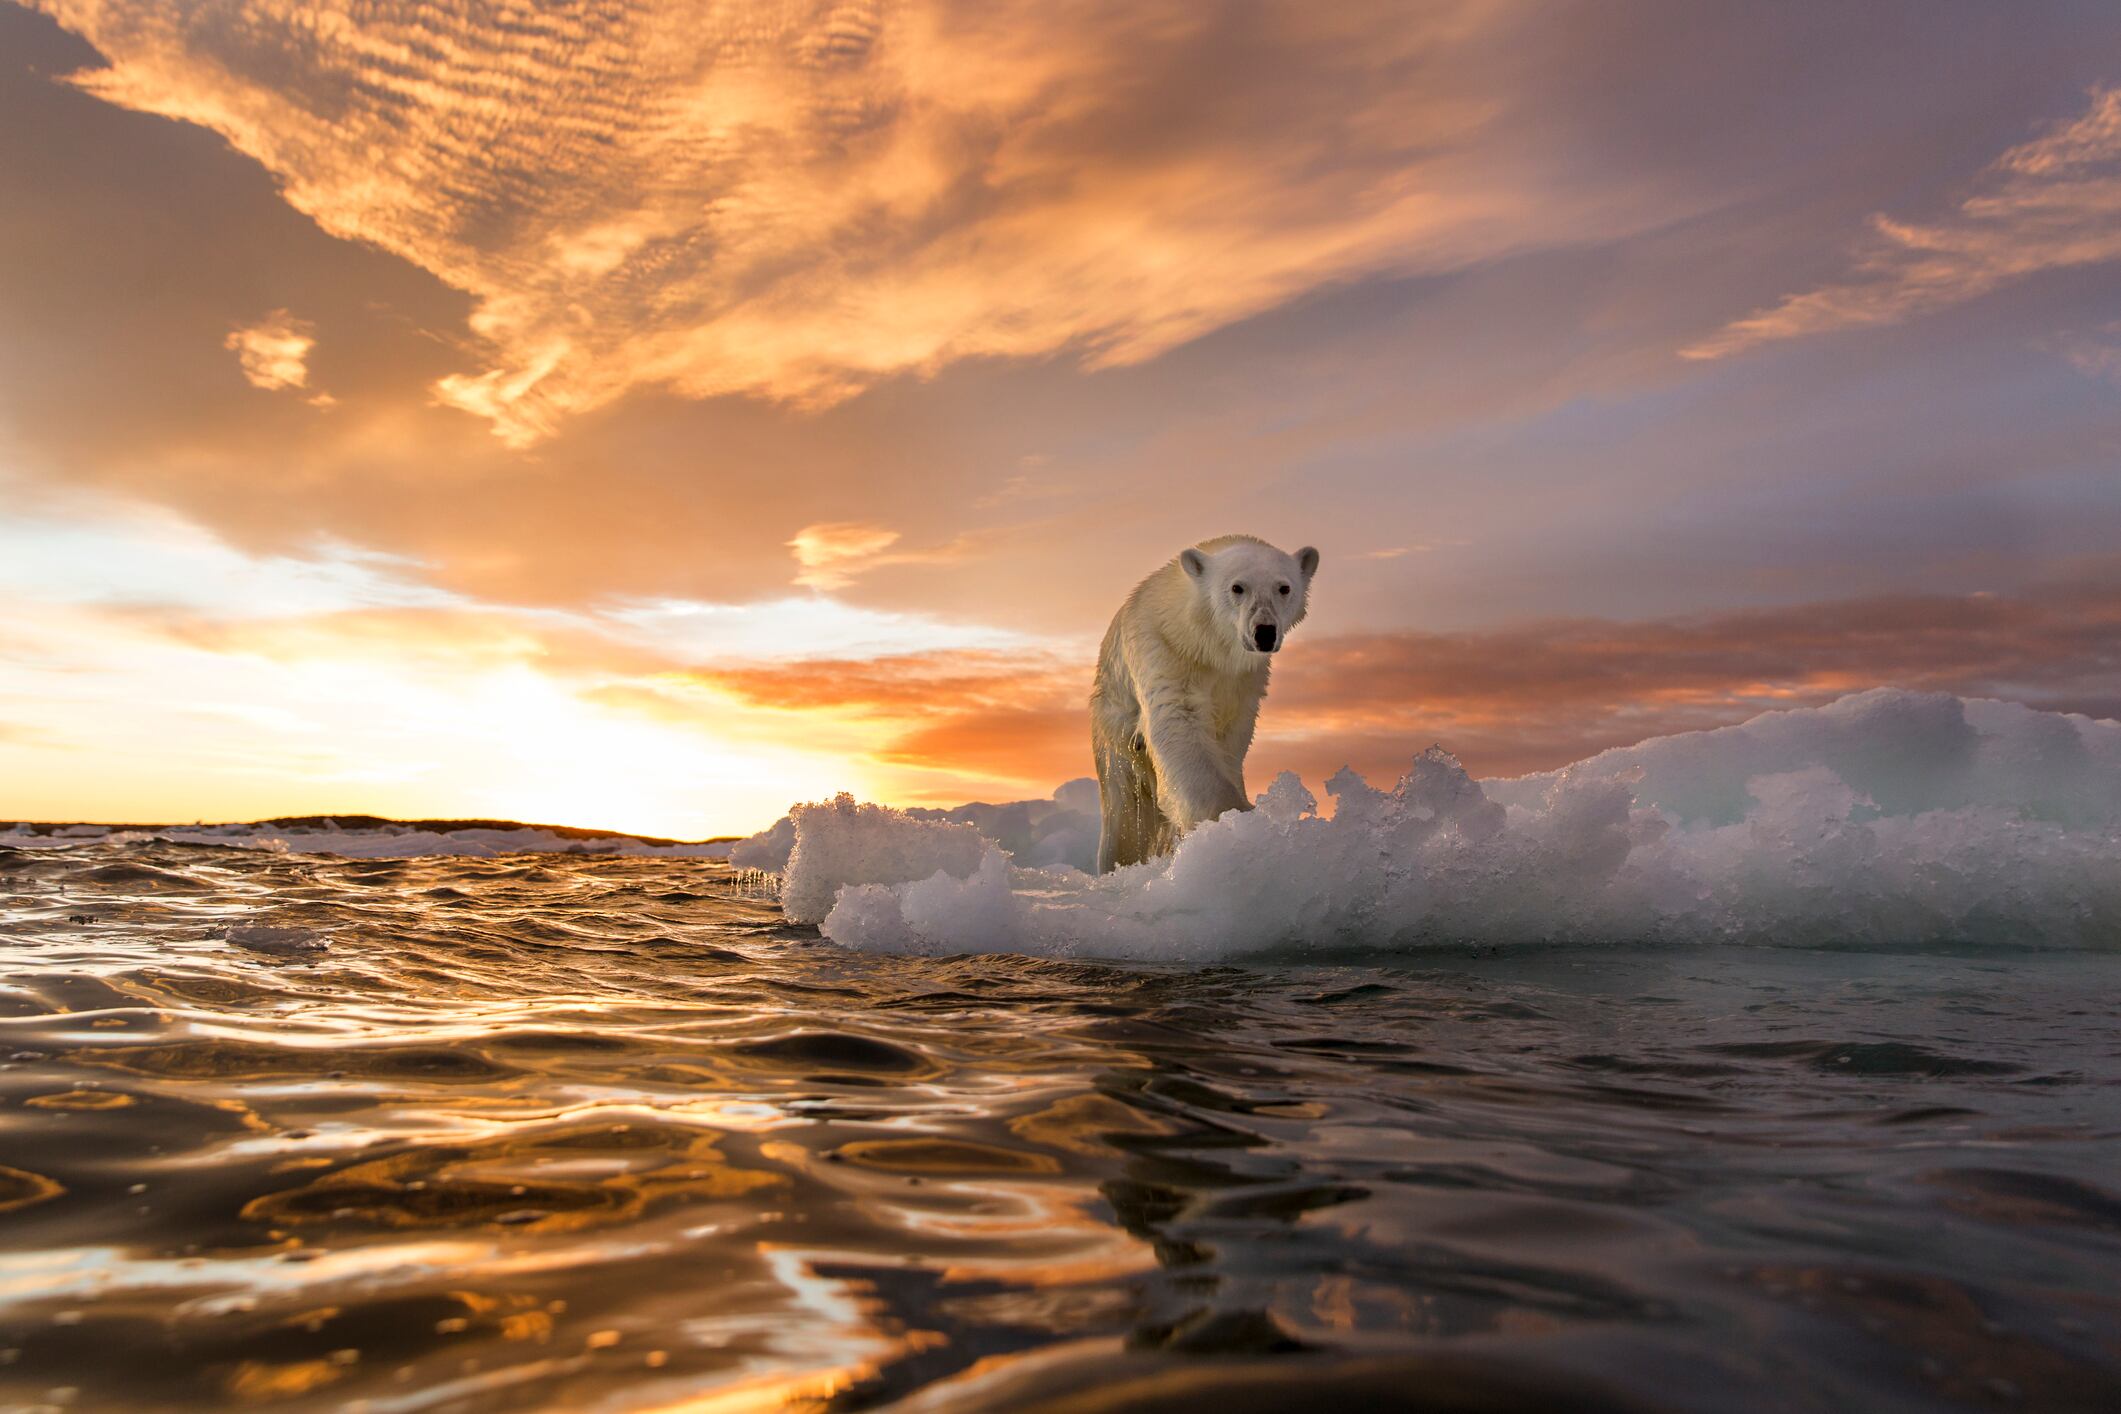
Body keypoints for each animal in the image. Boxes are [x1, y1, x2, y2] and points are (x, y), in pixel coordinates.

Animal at [1094, 536, 1306, 873]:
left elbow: (1230, 737)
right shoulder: (1164, 649)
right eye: (1237, 587)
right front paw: (1232, 820)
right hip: (1114, 732)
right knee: (1125, 814)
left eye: (1283, 587)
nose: (1264, 632)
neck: (1206, 646)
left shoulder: (1244, 681)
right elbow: (1179, 722)